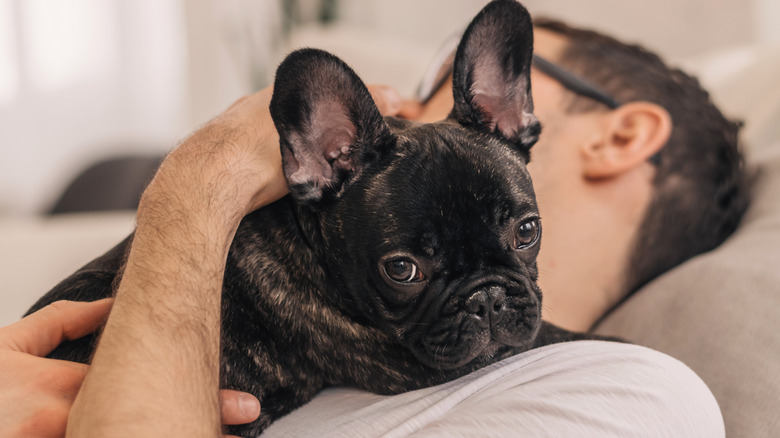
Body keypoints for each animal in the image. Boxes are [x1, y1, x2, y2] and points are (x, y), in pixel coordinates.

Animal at [29, 1, 604, 436]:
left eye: (527, 231)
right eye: (402, 270)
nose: (487, 298)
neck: (308, 242)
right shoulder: (410, 359)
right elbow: (564, 336)